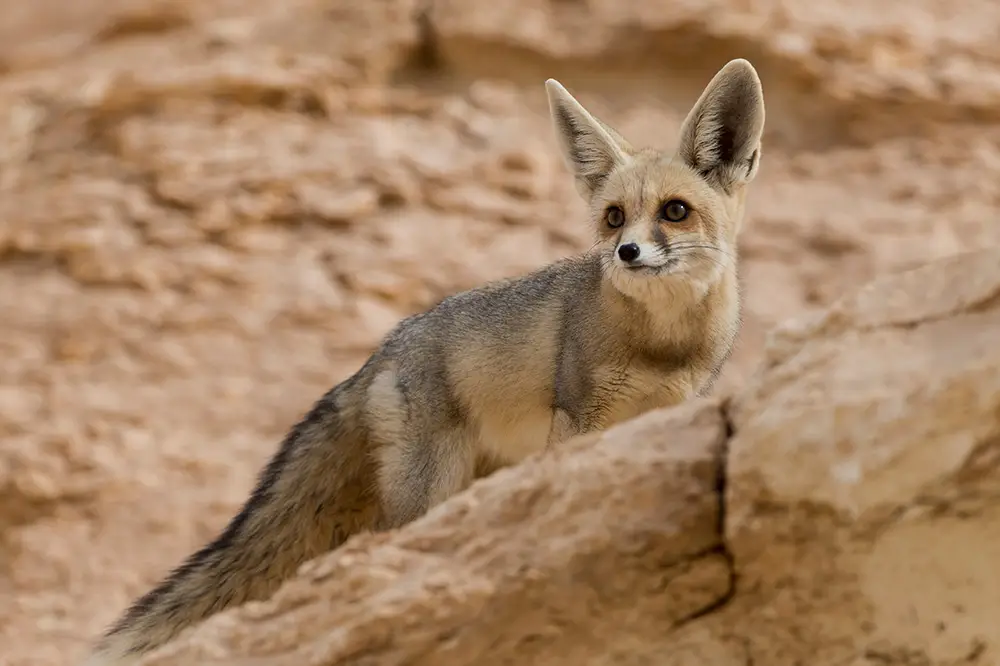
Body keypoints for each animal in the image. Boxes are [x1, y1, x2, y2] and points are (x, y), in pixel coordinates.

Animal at [86, 58, 764, 664]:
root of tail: (380, 351)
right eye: (614, 217)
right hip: (432, 487)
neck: (661, 344)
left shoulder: (667, 409)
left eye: (674, 211)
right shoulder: (580, 414)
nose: (626, 253)